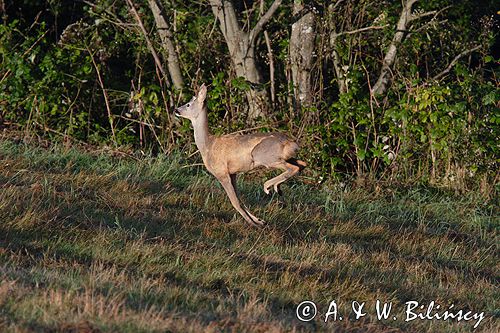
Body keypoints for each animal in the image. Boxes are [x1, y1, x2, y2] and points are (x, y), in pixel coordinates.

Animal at [176, 84, 304, 227]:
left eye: (188, 104)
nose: (176, 110)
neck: (208, 146)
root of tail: (292, 143)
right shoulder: (233, 173)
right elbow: (240, 199)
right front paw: (259, 220)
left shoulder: (221, 172)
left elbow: (235, 202)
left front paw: (254, 224)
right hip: (285, 157)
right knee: (302, 164)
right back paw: (277, 188)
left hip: (264, 156)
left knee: (293, 168)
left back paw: (268, 187)